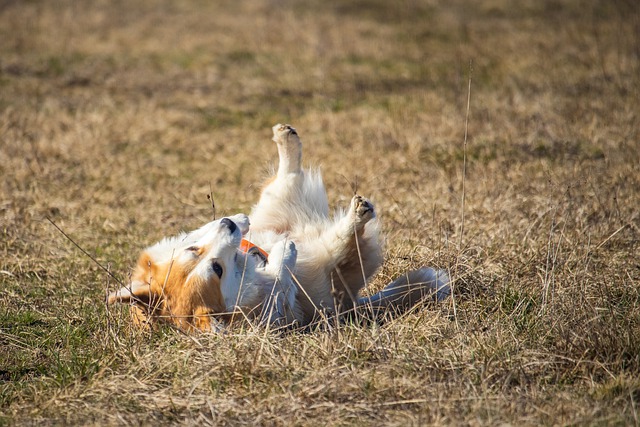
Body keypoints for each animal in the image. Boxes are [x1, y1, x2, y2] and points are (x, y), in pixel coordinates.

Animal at [107, 123, 450, 332]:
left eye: (194, 250)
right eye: (217, 270)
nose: (229, 223)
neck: (249, 261)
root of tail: (353, 303)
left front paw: (239, 221)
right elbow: (283, 276)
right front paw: (284, 253)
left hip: (276, 207)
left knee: (287, 178)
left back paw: (286, 138)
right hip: (327, 258)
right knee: (336, 236)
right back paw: (354, 216)